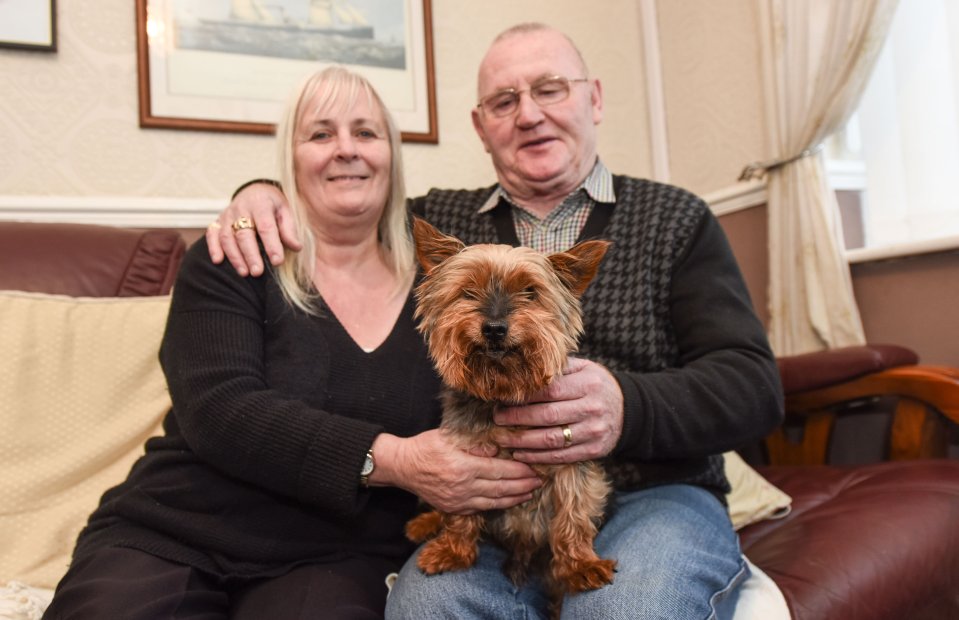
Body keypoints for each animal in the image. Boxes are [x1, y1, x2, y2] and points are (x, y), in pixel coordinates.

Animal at [404, 218, 616, 616]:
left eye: (531, 293)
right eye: (468, 292)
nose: (494, 328)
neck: (505, 391)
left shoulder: (573, 458)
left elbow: (574, 513)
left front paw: (580, 565)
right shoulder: (464, 463)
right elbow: (460, 510)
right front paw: (452, 550)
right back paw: (426, 523)